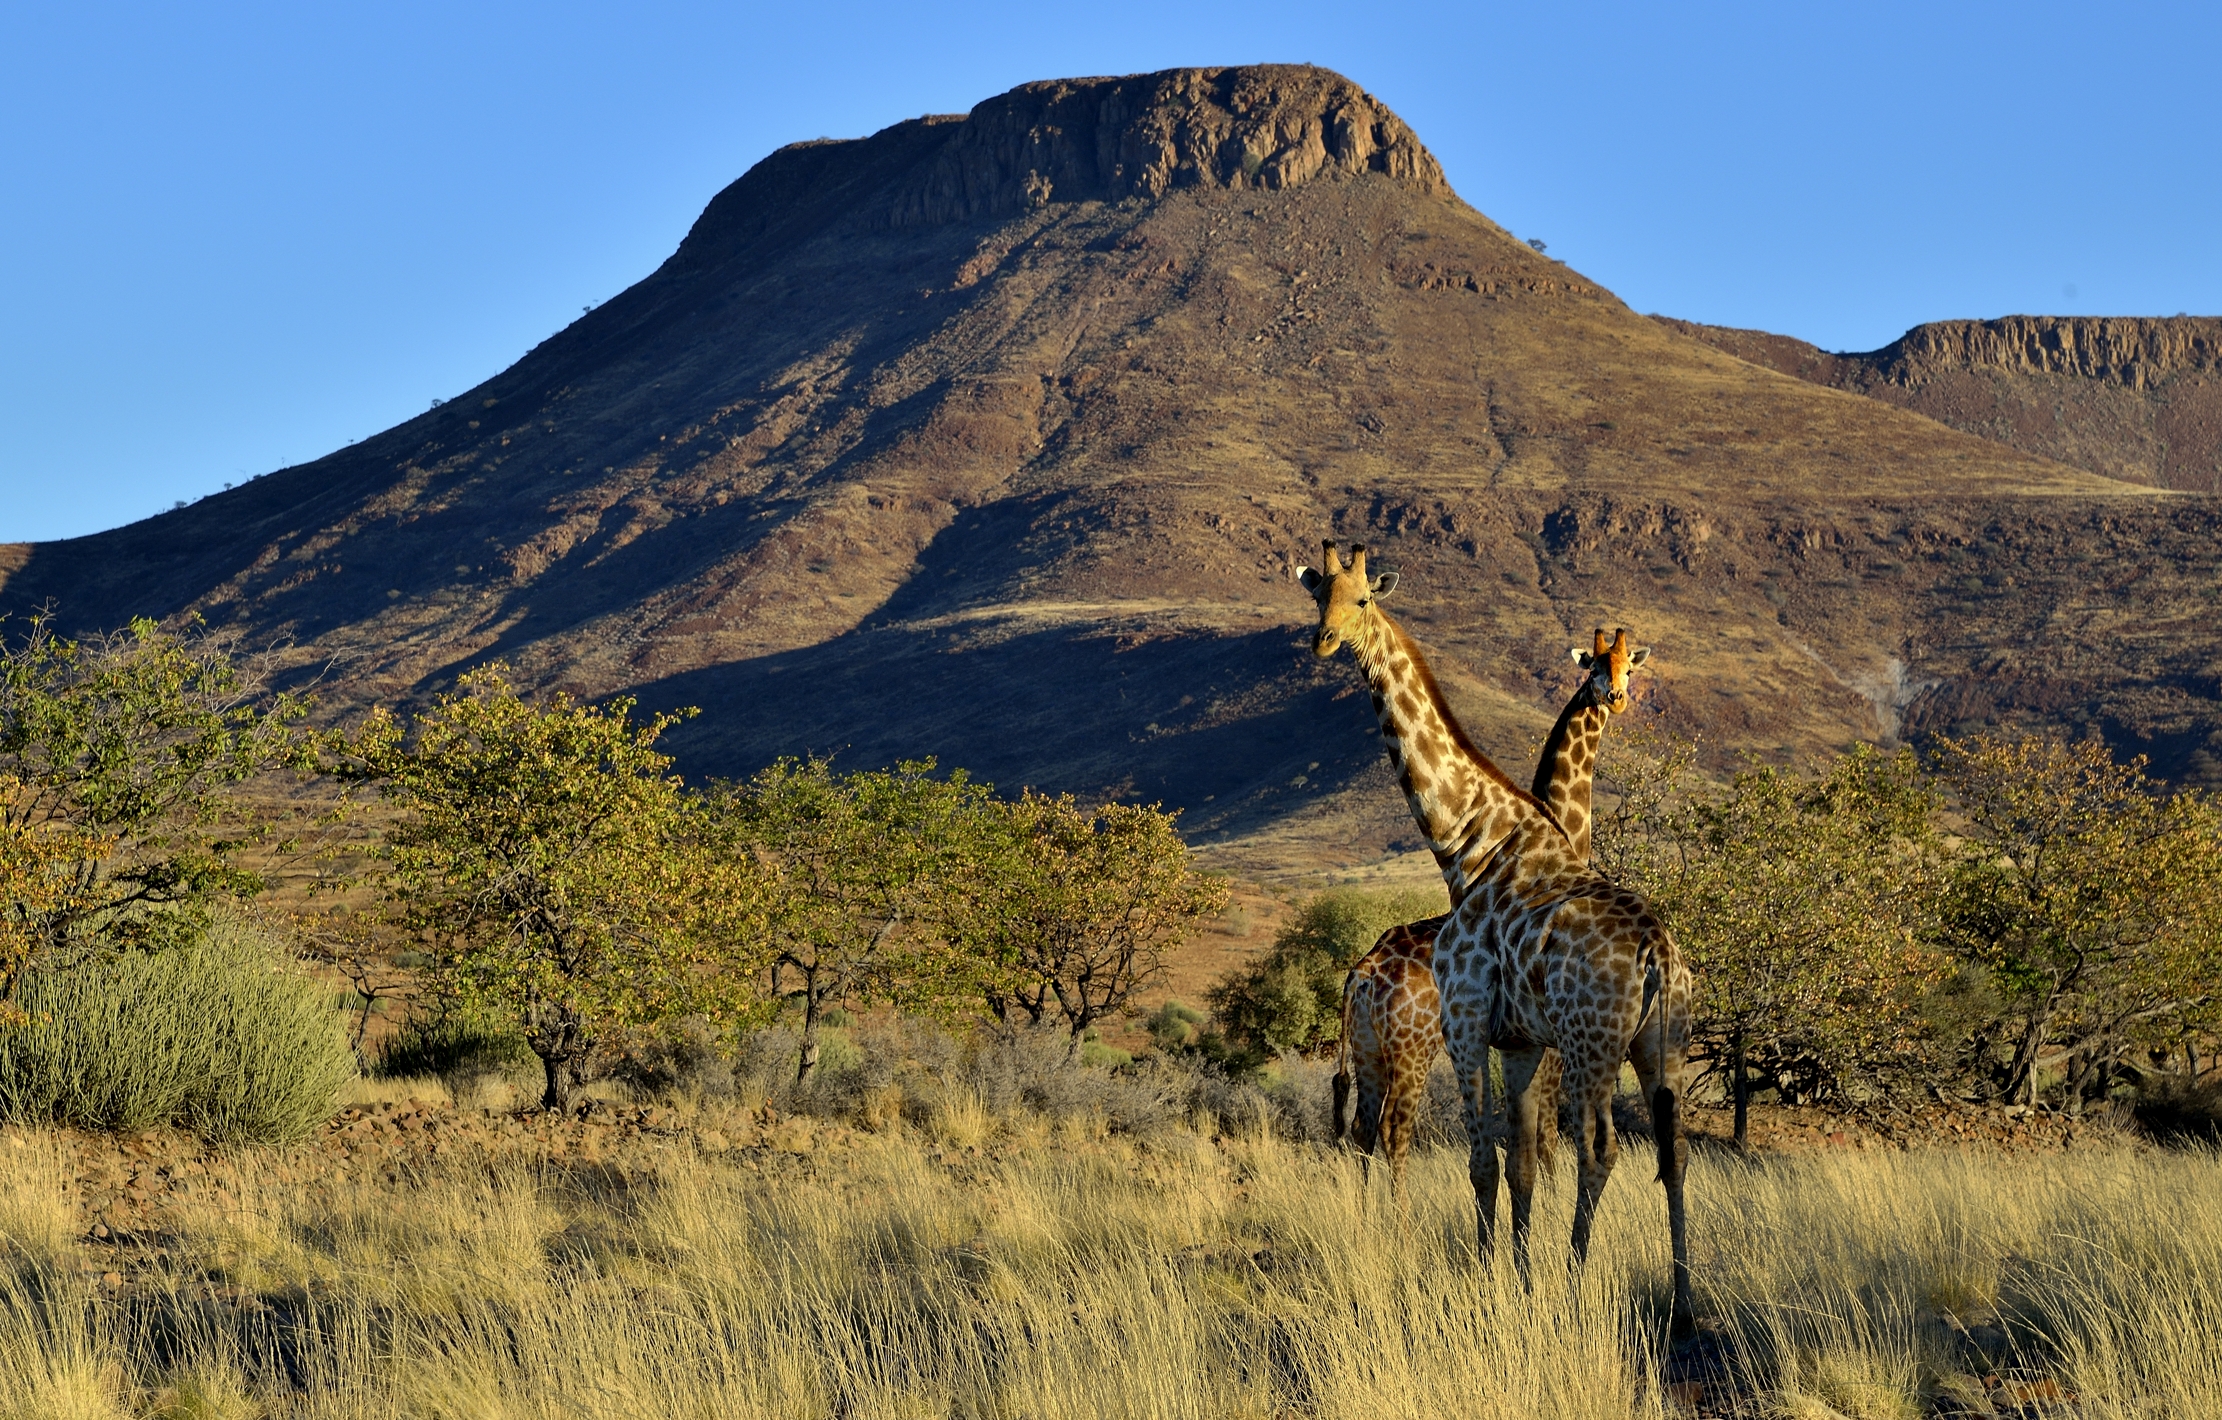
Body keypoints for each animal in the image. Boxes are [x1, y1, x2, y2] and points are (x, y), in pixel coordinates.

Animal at [1329, 628, 1651, 1193]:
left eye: (1627, 669)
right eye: (1593, 668)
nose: (1614, 697)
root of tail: (1361, 973)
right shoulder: (1548, 1043)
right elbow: (1545, 1132)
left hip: (1368, 1048)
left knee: (1363, 1129)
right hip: (1413, 1049)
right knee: (1394, 1128)